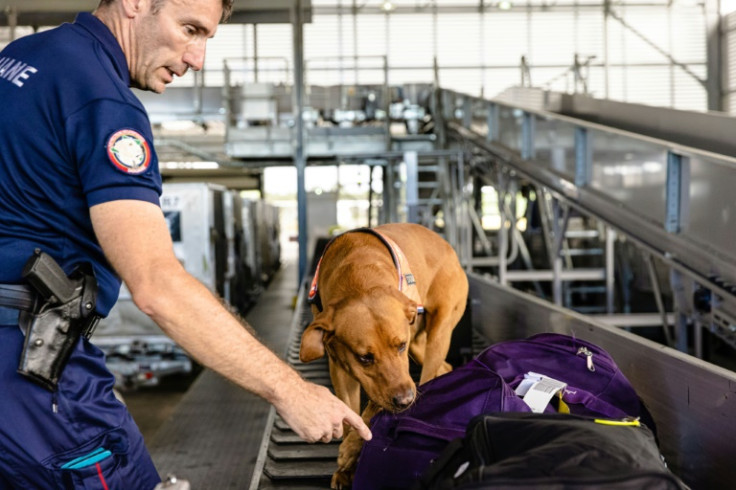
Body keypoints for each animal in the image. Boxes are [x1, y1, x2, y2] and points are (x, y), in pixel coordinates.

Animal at [298, 224, 466, 488]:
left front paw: (351, 449)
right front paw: (346, 470)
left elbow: (372, 408)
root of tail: (448, 247)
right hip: (420, 345)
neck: (359, 279)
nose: (406, 401)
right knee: (444, 368)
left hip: (438, 332)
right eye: (364, 358)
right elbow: (350, 414)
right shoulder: (342, 369)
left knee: (430, 372)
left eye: (400, 346)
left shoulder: (398, 372)